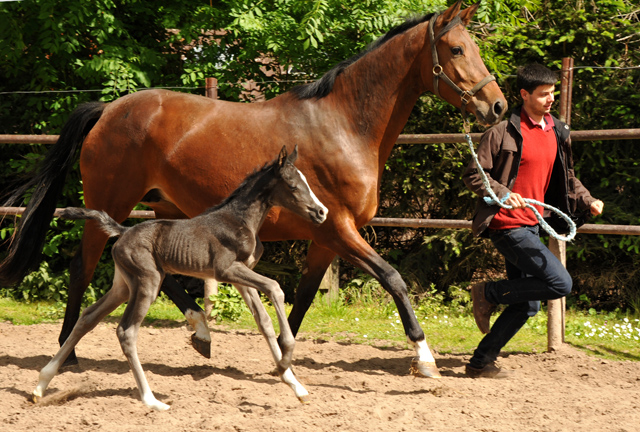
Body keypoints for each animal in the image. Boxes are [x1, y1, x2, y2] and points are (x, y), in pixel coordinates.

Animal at [2, 0, 508, 378]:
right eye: (457, 50)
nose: (498, 106)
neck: (343, 126)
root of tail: (108, 109)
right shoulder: (341, 229)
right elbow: (393, 279)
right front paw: (425, 359)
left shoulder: (325, 238)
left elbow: (303, 296)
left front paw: (283, 358)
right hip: (109, 201)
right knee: (82, 266)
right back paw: (70, 354)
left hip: (162, 211)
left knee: (160, 273)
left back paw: (201, 332)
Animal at [32, 147, 328, 410]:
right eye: (292, 185)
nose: (321, 212)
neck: (240, 221)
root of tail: (123, 230)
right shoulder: (226, 270)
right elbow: (276, 288)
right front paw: (285, 359)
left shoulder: (241, 276)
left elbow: (263, 320)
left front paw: (295, 385)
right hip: (148, 282)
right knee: (126, 331)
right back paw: (151, 400)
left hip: (124, 286)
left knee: (88, 317)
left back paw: (41, 385)